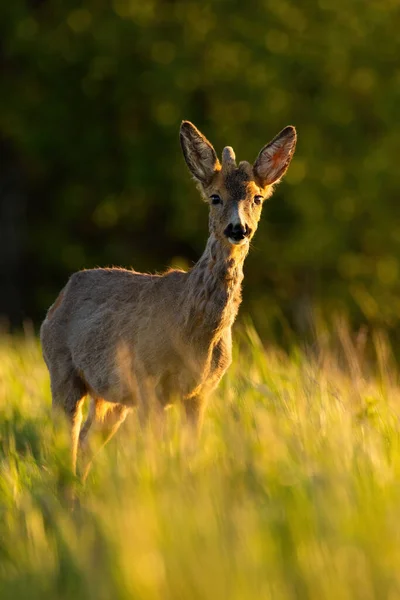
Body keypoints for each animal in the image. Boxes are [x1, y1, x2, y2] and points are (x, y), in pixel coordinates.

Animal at [40, 120, 296, 474]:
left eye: (257, 198)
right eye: (215, 197)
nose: (238, 229)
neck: (194, 332)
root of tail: (60, 297)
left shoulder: (201, 392)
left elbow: (190, 450)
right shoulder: (150, 382)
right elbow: (156, 450)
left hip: (112, 396)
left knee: (88, 440)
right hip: (62, 368)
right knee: (66, 440)